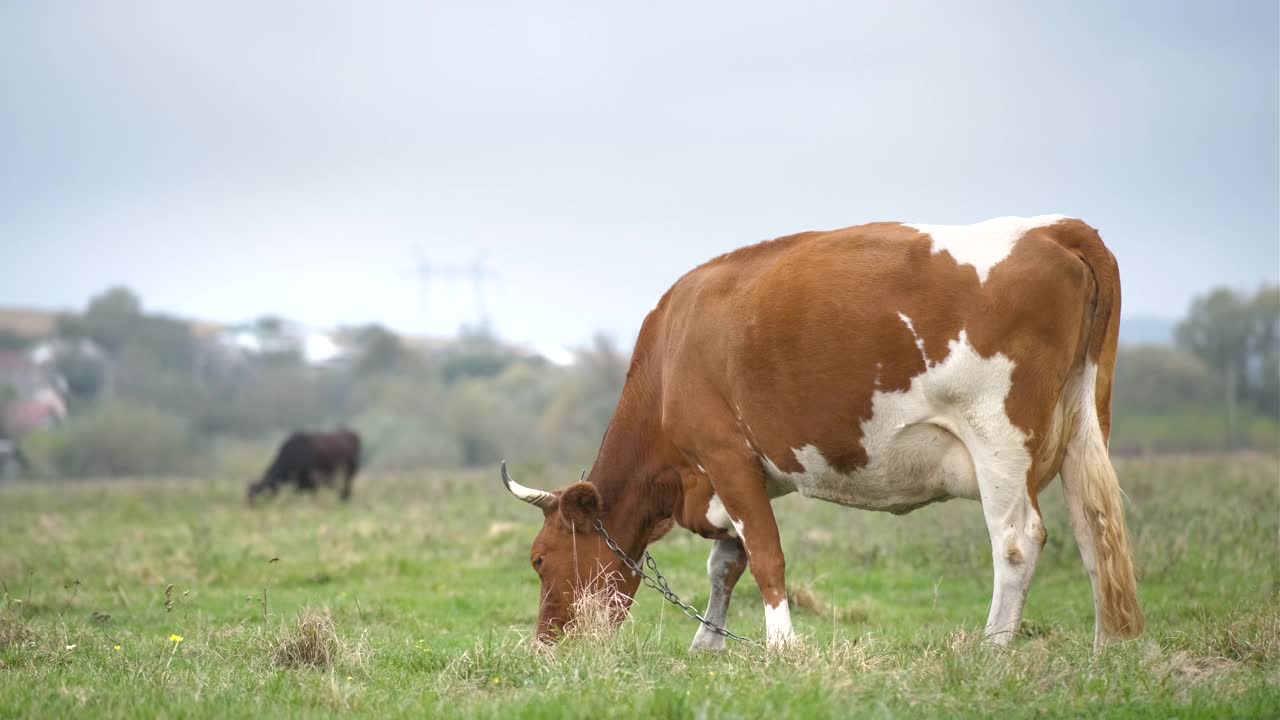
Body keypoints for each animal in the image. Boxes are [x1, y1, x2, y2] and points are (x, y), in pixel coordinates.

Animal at [499, 212, 1141, 650]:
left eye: (538, 559)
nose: (545, 646)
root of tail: (1053, 228)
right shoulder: (745, 474)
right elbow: (726, 564)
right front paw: (708, 644)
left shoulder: (724, 453)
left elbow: (765, 556)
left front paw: (782, 647)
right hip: (1086, 428)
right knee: (1097, 531)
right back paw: (1107, 648)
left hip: (1000, 439)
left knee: (1017, 540)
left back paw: (993, 648)